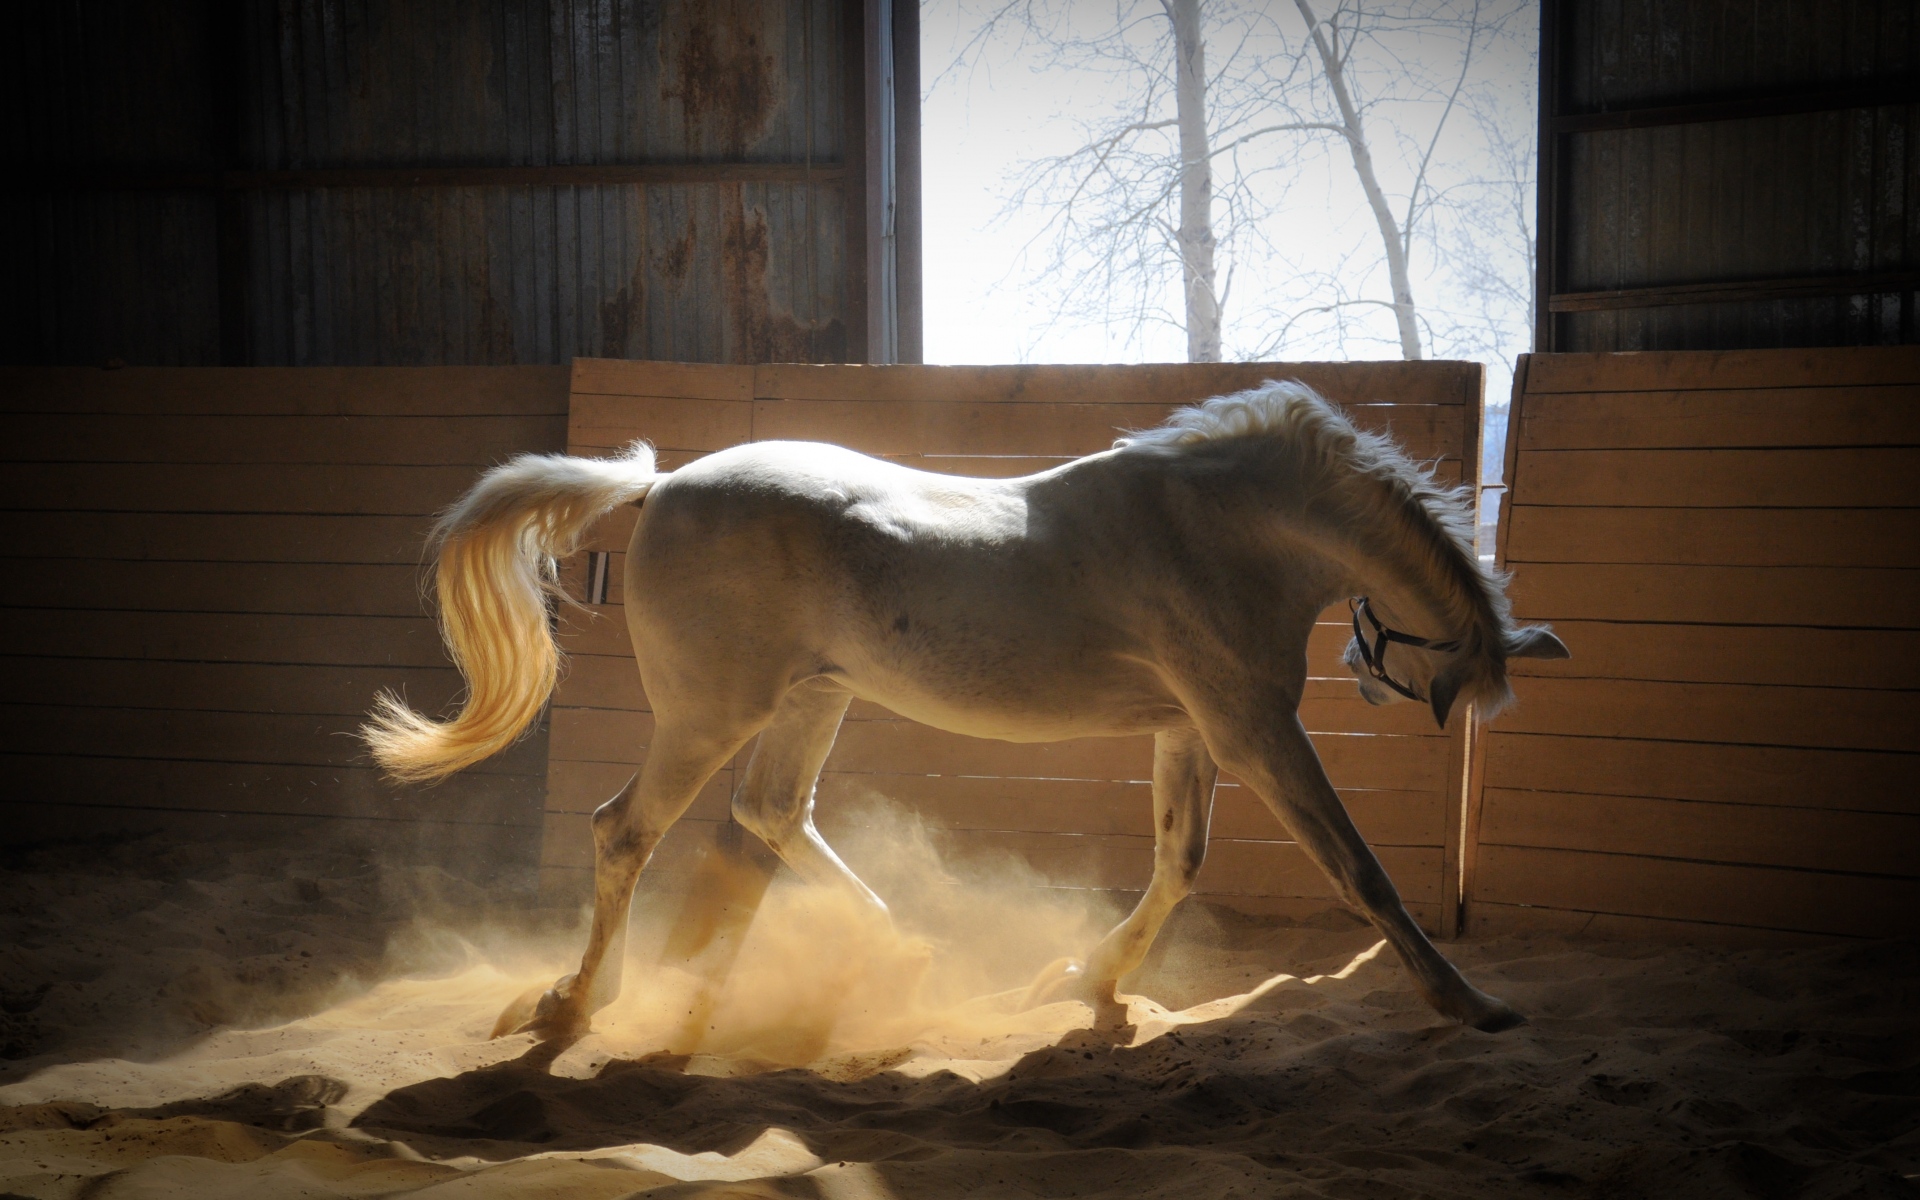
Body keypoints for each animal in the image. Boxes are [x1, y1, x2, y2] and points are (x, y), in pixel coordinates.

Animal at [364, 380, 1569, 1041]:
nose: (1376, 677)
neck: (1221, 527)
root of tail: (659, 487)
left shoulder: (1191, 733)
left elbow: (1178, 863)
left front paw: (1086, 982)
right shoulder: (1253, 729)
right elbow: (1359, 872)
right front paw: (1471, 1003)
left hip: (812, 700)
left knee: (771, 814)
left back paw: (901, 951)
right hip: (709, 715)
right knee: (627, 831)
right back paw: (575, 1004)